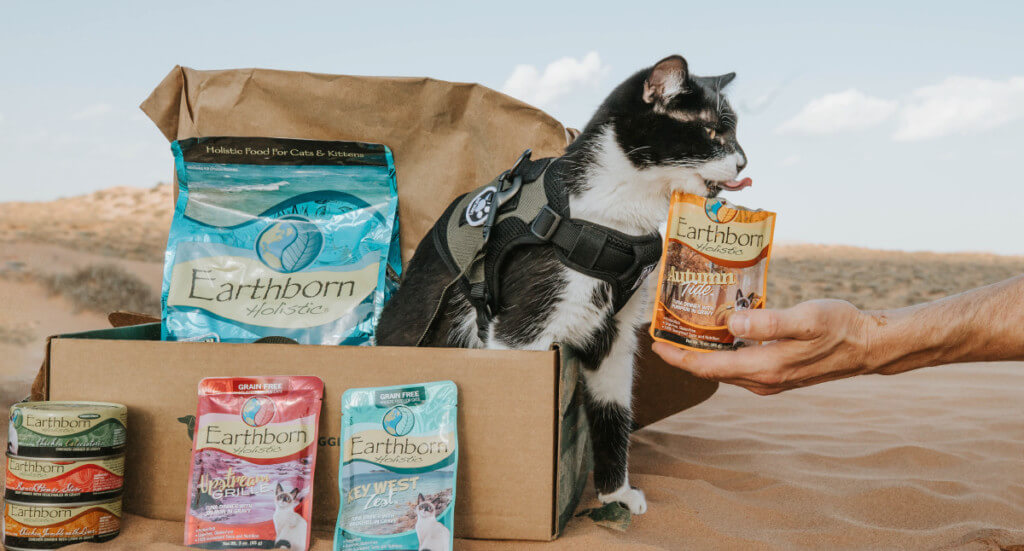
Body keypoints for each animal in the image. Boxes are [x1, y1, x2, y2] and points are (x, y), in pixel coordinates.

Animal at [380, 54, 749, 510]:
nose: (743, 162)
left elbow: (613, 409)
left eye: (734, 132)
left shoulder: (616, 332)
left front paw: (616, 493)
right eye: (714, 131)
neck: (616, 213)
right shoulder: (521, 332)